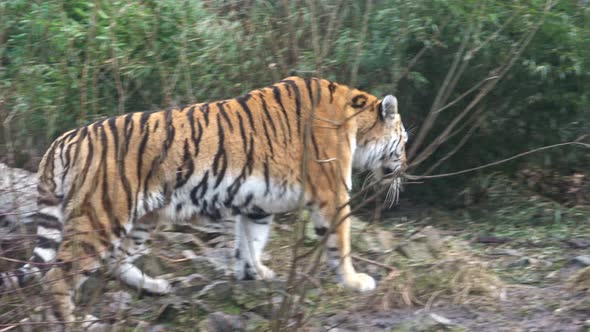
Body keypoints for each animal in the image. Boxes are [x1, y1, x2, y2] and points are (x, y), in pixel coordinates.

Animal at [0, 76, 410, 326]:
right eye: (403, 140)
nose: (405, 166)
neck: (355, 123)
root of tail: (63, 139)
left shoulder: (257, 204)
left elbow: (250, 242)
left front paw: (254, 274)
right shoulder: (332, 192)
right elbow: (340, 243)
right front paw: (356, 282)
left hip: (143, 216)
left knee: (116, 262)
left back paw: (156, 287)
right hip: (101, 215)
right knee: (59, 275)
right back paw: (77, 321)